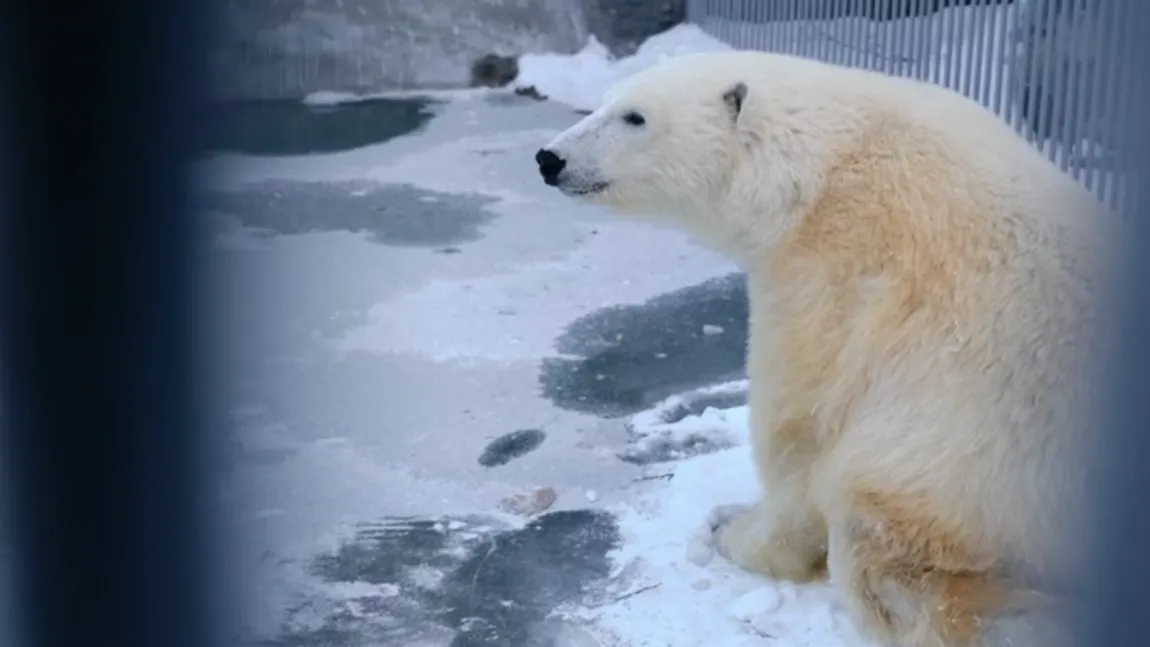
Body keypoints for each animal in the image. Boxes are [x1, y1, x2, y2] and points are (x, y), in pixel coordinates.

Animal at [531, 52, 1113, 647]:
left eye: (635, 116)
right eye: (605, 102)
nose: (550, 158)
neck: (820, 167)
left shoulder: (831, 269)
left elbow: (800, 423)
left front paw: (737, 533)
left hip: (977, 472)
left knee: (885, 540)